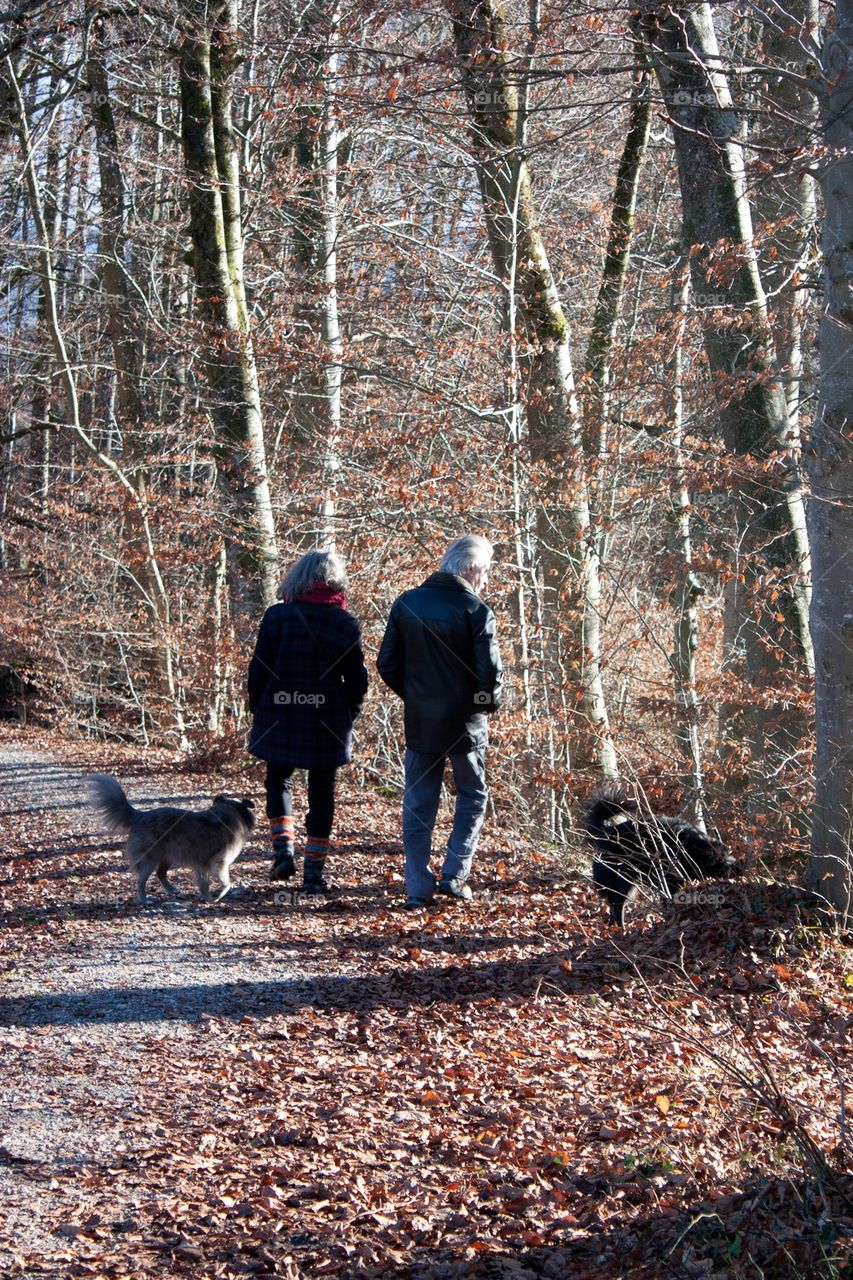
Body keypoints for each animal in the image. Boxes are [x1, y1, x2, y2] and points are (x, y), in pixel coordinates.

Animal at [581, 778, 732, 931]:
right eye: (718, 861)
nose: (734, 866)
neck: (692, 848)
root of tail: (605, 832)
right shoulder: (670, 879)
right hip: (620, 879)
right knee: (617, 905)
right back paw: (620, 929)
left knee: (615, 906)